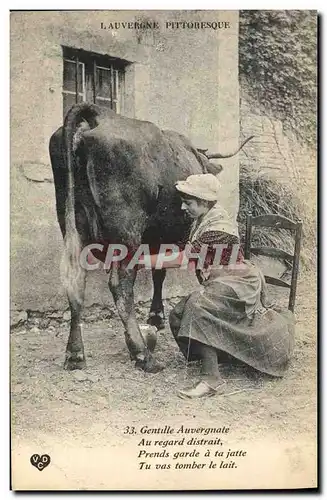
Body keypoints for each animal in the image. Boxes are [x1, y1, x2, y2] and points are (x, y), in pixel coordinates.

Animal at [48, 103, 252, 374]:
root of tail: (97, 116)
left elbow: (158, 271)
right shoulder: (163, 237)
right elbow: (159, 274)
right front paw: (156, 316)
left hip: (71, 223)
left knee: (75, 282)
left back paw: (75, 354)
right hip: (126, 231)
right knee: (121, 286)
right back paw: (142, 353)